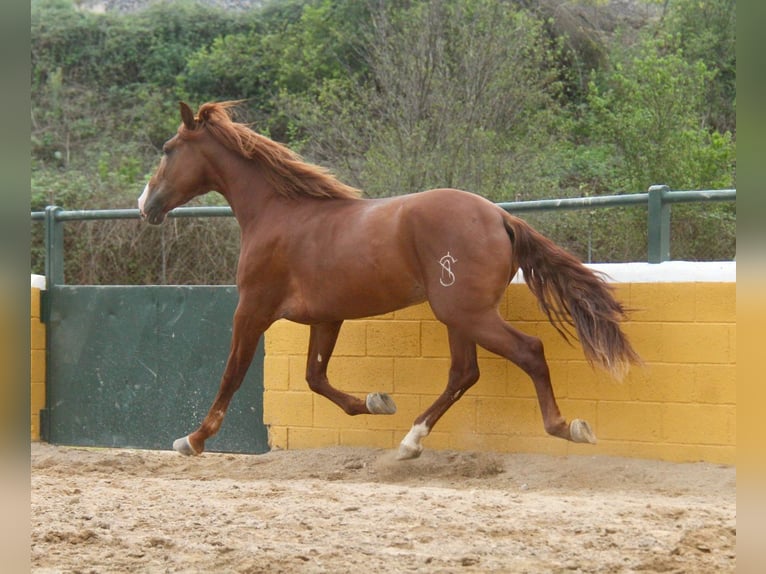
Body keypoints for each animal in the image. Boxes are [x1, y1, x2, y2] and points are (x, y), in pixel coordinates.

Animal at [138, 103, 640, 462]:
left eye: (167, 148)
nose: (146, 204)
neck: (278, 213)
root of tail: (500, 216)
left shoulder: (253, 309)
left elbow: (233, 373)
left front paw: (193, 440)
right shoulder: (327, 317)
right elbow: (315, 378)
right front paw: (378, 402)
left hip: (465, 312)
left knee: (528, 352)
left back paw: (567, 428)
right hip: (460, 316)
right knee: (464, 372)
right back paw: (410, 441)